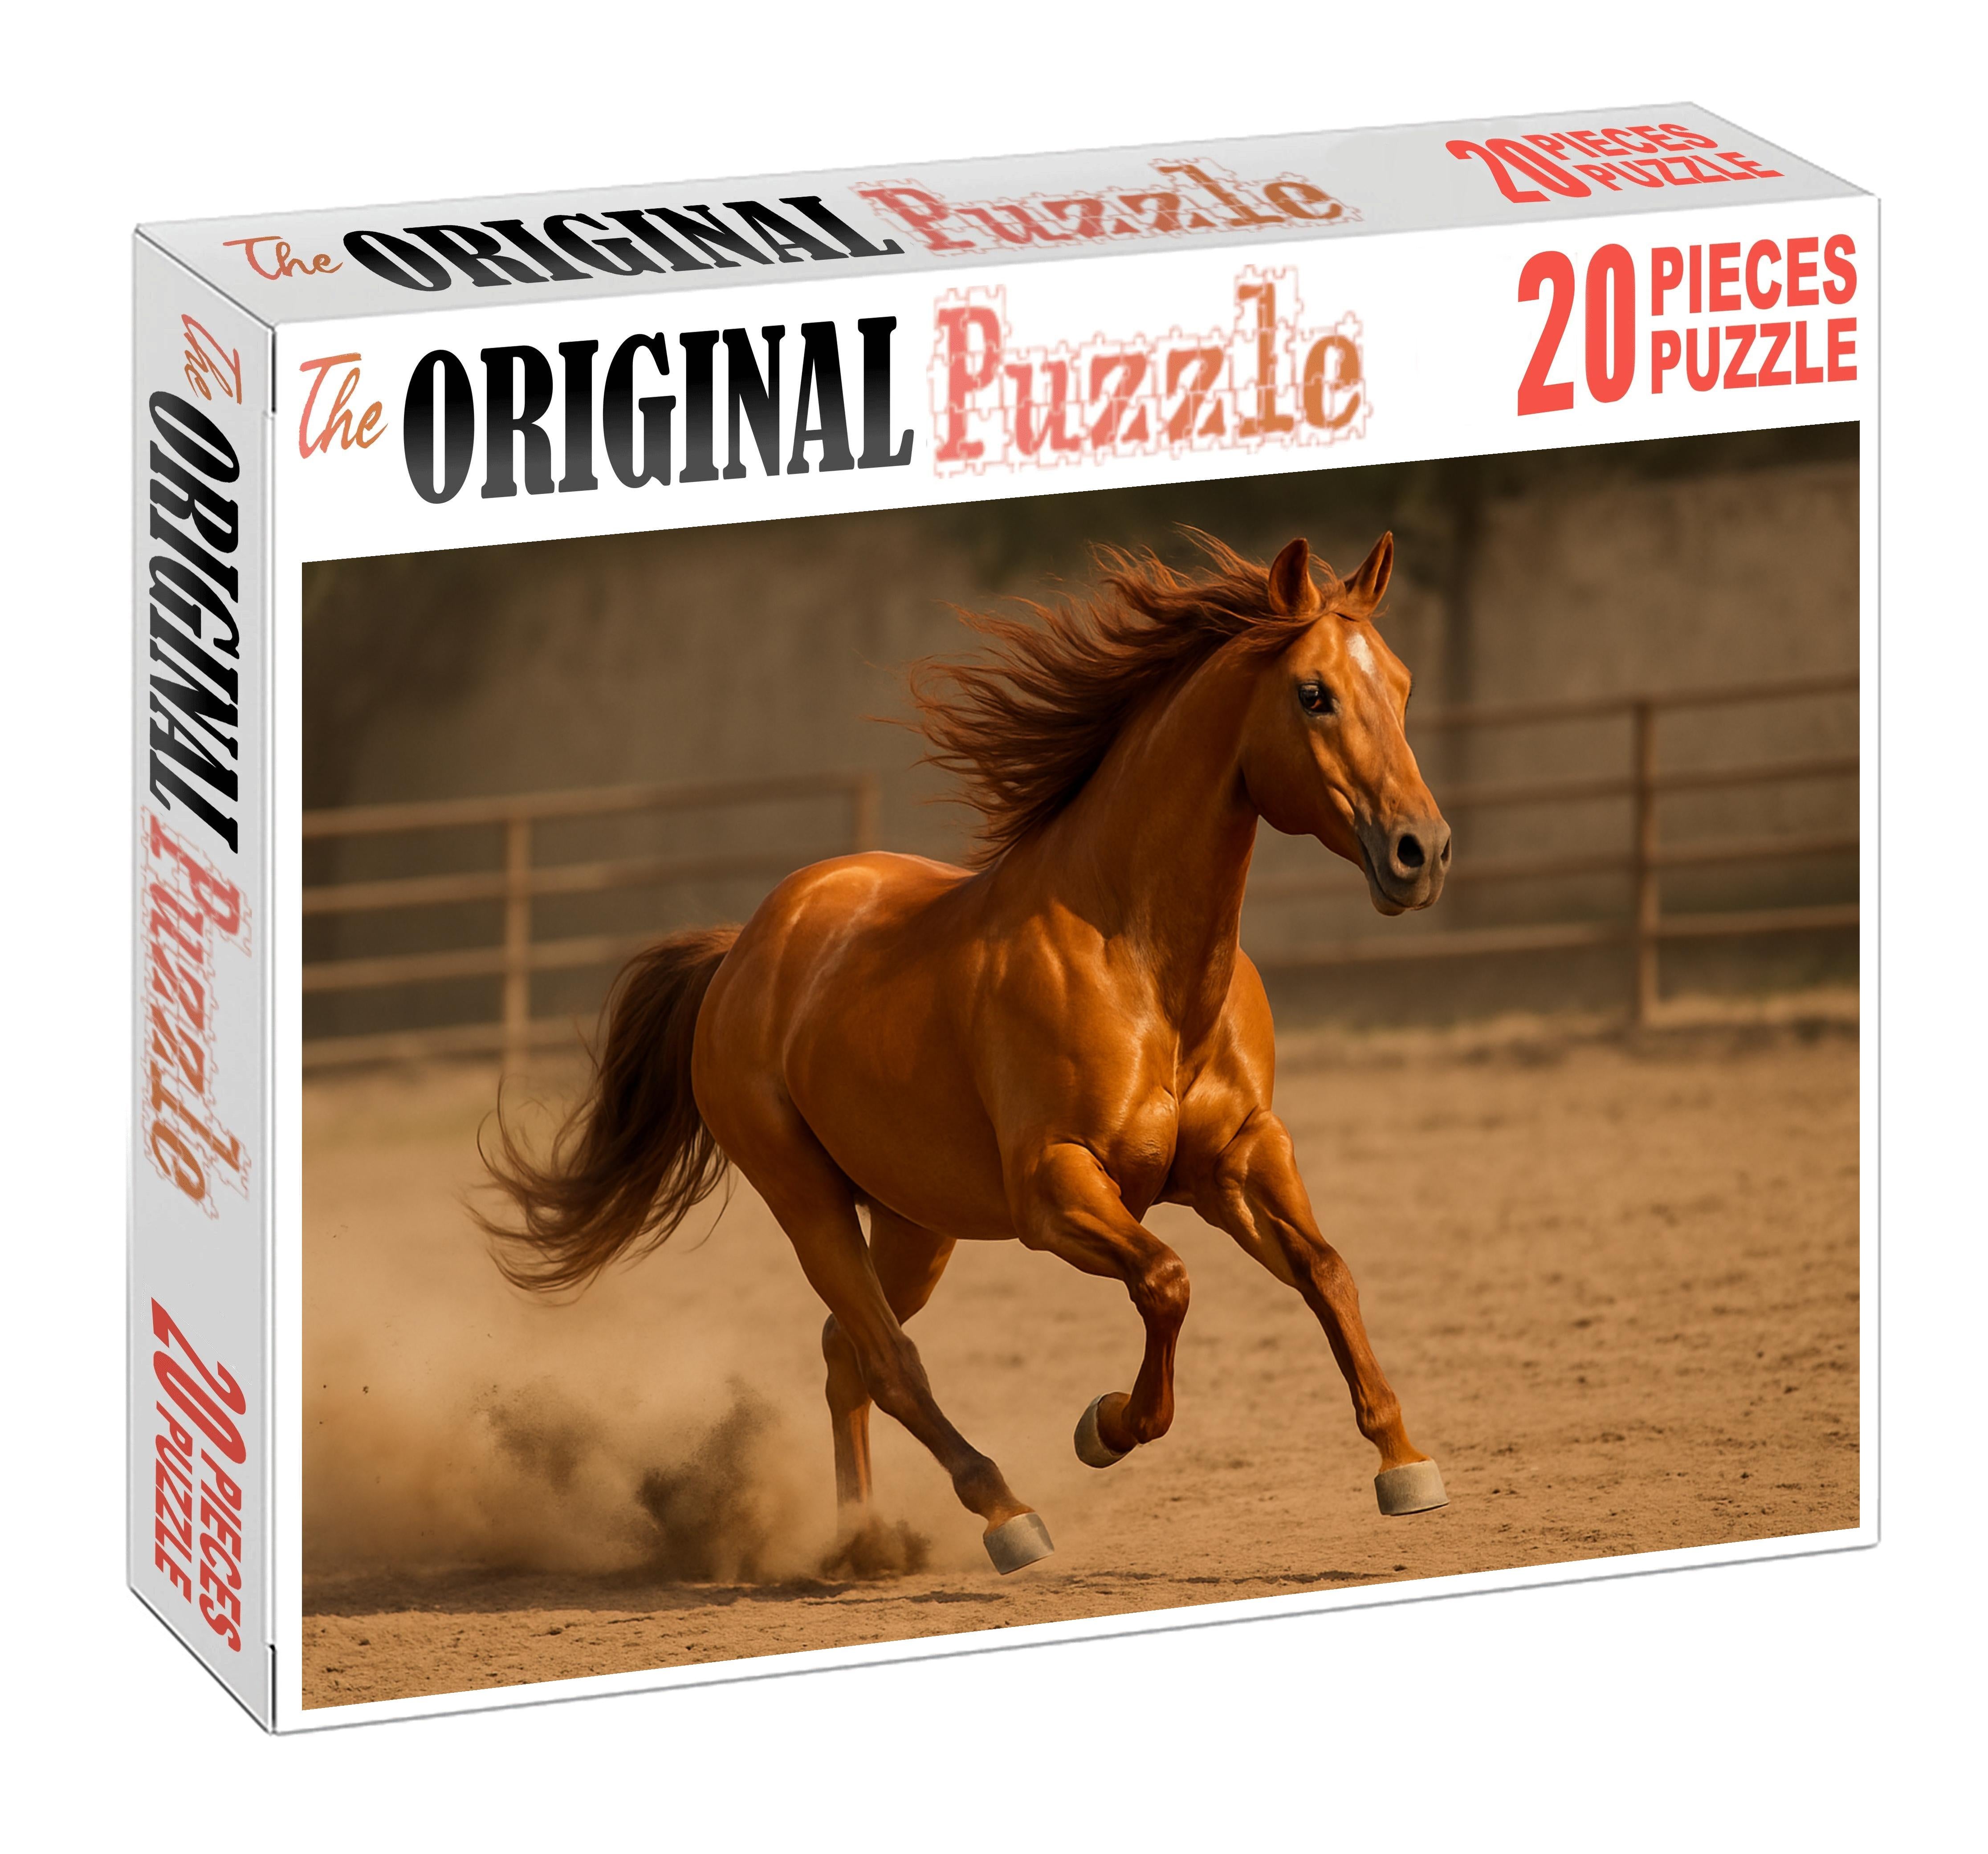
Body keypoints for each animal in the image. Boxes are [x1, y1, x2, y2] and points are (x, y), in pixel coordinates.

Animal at [479, 529, 1453, 1574]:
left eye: (1401, 684)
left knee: (843, 1353)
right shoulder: (1055, 1189)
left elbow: (1326, 1269)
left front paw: (1405, 1463)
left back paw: (863, 1542)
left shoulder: (1240, 1157)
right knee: (887, 1360)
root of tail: (743, 949)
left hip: (915, 1222)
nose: (1421, 851)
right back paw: (1004, 1514)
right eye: (1313, 694)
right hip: (807, 1200)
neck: (1142, 966)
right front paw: (1105, 1425)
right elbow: (1167, 1282)